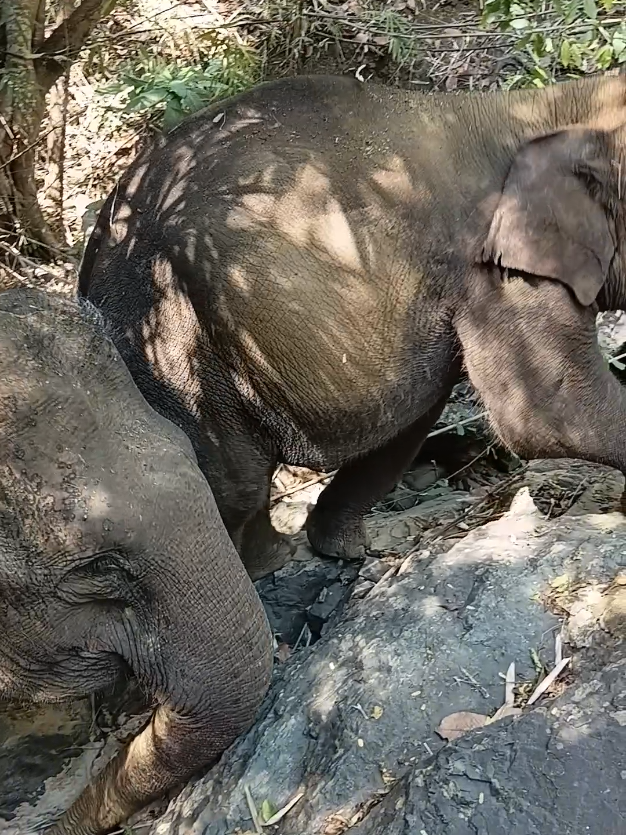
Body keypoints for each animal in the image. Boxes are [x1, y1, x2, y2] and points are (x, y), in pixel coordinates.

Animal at [78, 70, 626, 581]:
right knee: (236, 482)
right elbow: (545, 413)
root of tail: (97, 239)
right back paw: (267, 567)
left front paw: (349, 551)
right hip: (171, 328)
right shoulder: (495, 270)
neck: (548, 106)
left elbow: (413, 416)